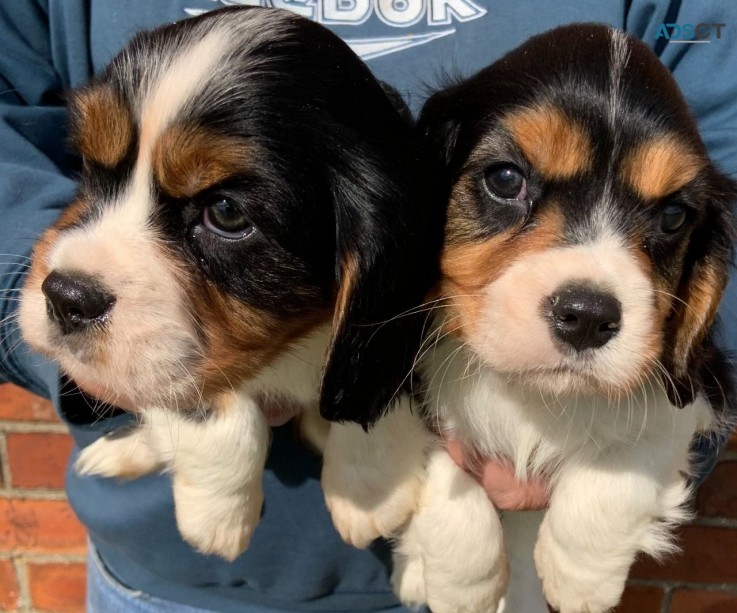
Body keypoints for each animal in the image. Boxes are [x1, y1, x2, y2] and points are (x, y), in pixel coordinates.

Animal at [17, 5, 440, 560]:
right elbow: (218, 403)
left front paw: (371, 491)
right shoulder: (181, 359)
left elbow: (370, 381)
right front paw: (217, 515)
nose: (67, 296)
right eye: (90, 165)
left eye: (226, 212)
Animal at [330, 22, 736, 612]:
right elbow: (439, 467)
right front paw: (463, 585)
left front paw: (582, 577)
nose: (588, 317)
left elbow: (634, 451)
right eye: (505, 179)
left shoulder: (690, 385)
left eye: (672, 216)